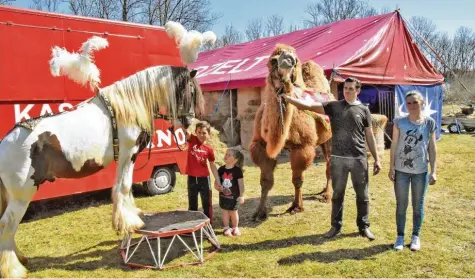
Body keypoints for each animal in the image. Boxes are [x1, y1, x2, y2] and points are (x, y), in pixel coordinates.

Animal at [0, 65, 204, 278]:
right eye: (191, 91)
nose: (190, 122)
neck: (127, 107)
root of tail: (4, 143)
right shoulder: (127, 153)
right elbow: (124, 186)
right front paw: (130, 222)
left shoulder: (127, 157)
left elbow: (125, 187)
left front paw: (131, 215)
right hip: (22, 194)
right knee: (7, 224)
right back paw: (13, 269)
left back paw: (20, 258)